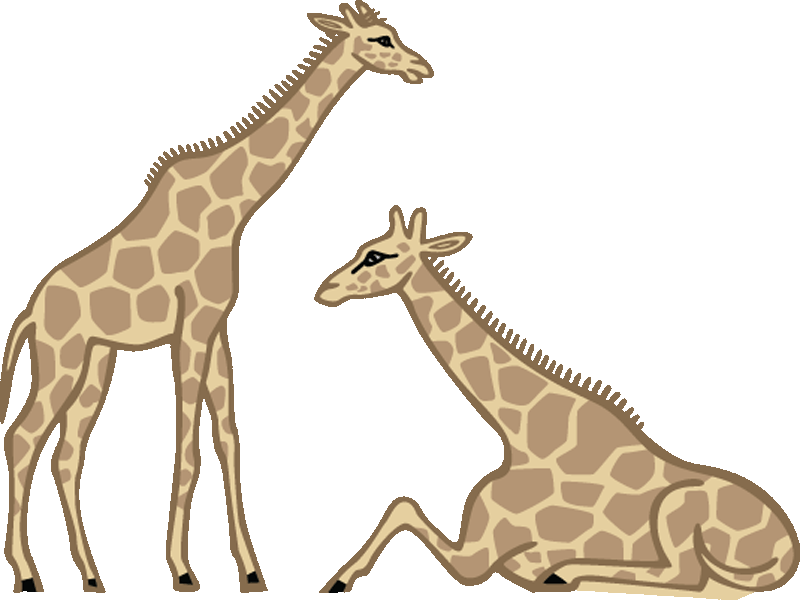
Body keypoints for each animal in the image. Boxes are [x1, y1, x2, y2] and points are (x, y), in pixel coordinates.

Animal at [0, 3, 432, 594]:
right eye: (381, 38)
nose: (421, 68)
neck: (236, 205)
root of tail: (28, 311)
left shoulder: (218, 324)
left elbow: (229, 440)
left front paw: (251, 571)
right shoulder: (191, 325)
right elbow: (189, 447)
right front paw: (183, 571)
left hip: (95, 362)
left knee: (66, 455)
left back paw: (91, 576)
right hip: (60, 356)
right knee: (22, 439)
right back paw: (27, 575)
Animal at [314, 206, 799, 598]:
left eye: (377, 256)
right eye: (364, 248)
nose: (325, 290)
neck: (518, 435)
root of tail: (786, 546)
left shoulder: (478, 556)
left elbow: (405, 508)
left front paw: (338, 580)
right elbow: (401, 505)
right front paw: (337, 578)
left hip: (679, 508)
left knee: (687, 575)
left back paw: (565, 571)